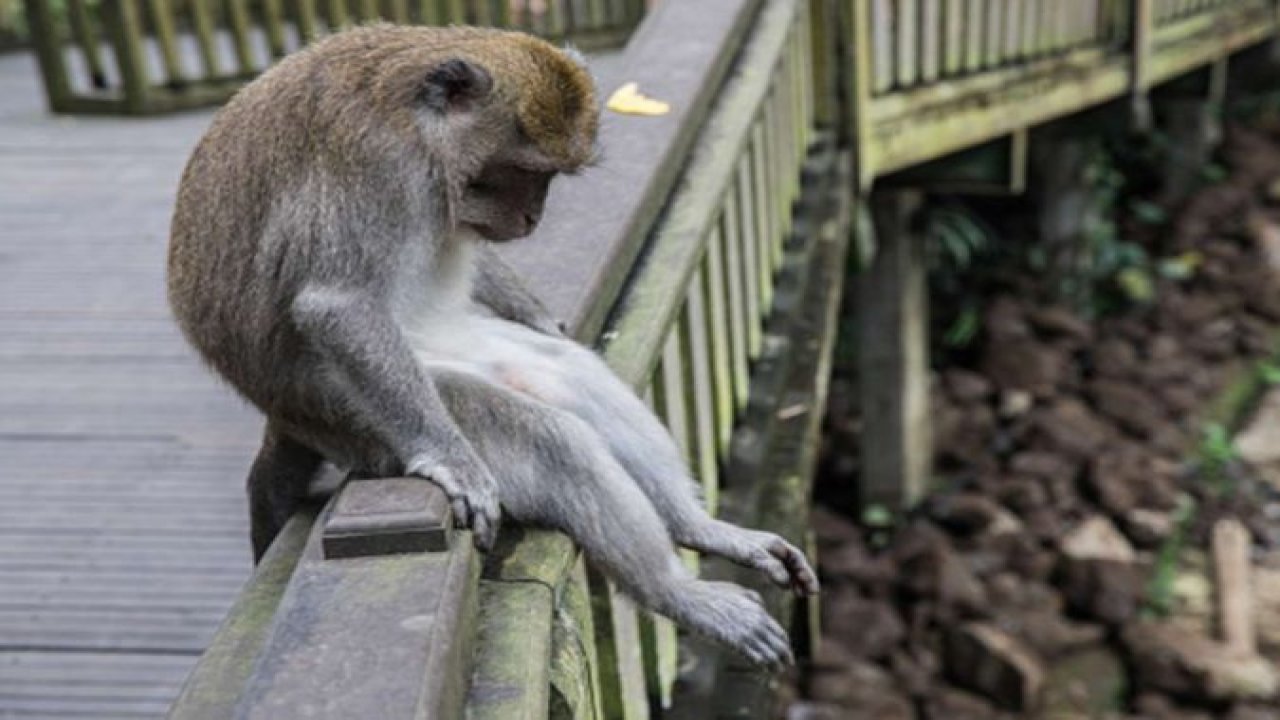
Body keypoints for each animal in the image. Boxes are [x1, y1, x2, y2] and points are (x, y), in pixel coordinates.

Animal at [167, 23, 819, 666]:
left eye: (548, 177)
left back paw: (696, 528)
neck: (420, 129)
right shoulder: (376, 165)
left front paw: (543, 317)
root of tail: (282, 414)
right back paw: (675, 591)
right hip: (348, 417)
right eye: (523, 170)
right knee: (550, 439)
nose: (532, 217)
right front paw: (451, 458)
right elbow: (337, 306)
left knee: (565, 374)